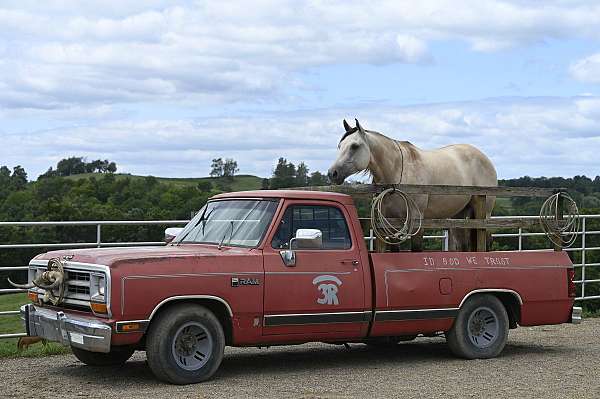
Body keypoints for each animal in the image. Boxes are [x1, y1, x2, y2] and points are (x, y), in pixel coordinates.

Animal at [328, 118, 496, 250]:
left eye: (354, 146)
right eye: (340, 146)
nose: (332, 173)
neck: (396, 173)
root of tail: (484, 157)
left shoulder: (416, 220)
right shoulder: (390, 222)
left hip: (483, 213)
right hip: (459, 217)